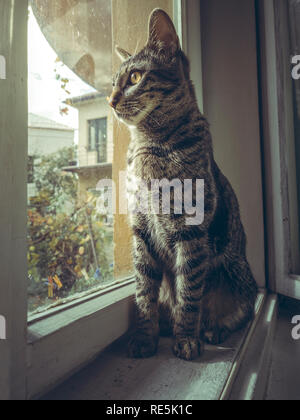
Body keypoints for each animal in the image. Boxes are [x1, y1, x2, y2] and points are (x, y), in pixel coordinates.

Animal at [108, 9, 258, 360]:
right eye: (113, 82)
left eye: (135, 77)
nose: (109, 100)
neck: (149, 147)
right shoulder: (141, 231)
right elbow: (144, 293)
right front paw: (145, 337)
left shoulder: (191, 233)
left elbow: (189, 292)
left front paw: (187, 338)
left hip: (237, 274)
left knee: (241, 310)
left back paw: (212, 329)